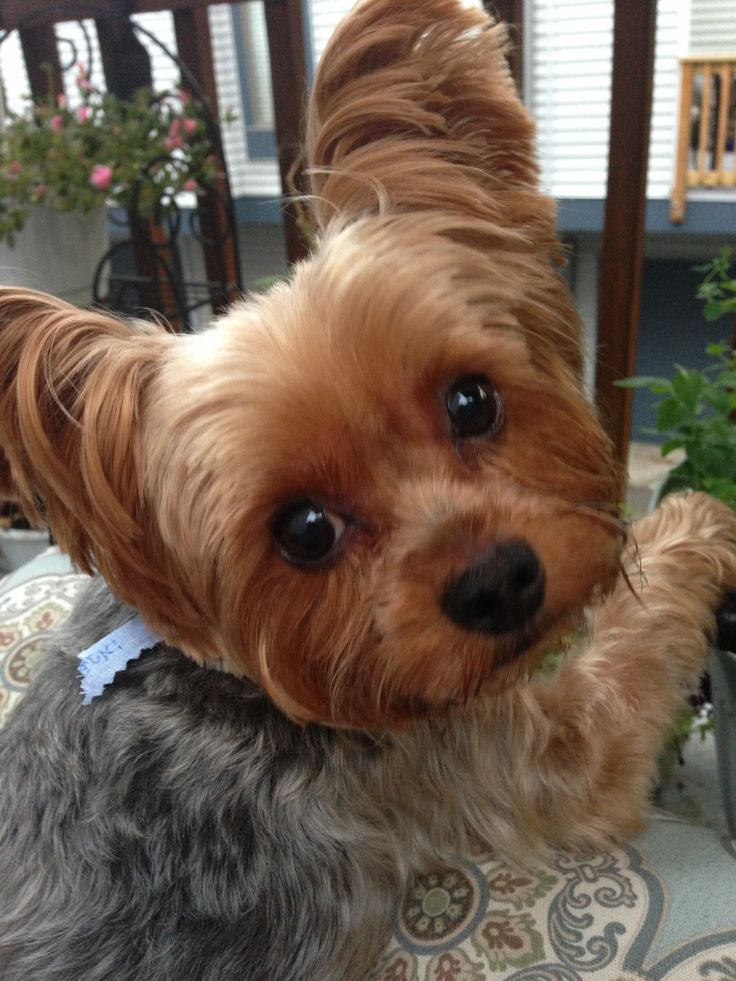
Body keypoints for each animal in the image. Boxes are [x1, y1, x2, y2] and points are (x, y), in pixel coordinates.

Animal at [1, 0, 736, 976]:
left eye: (473, 400)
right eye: (304, 530)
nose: (499, 583)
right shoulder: (500, 749)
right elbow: (624, 659)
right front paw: (696, 518)